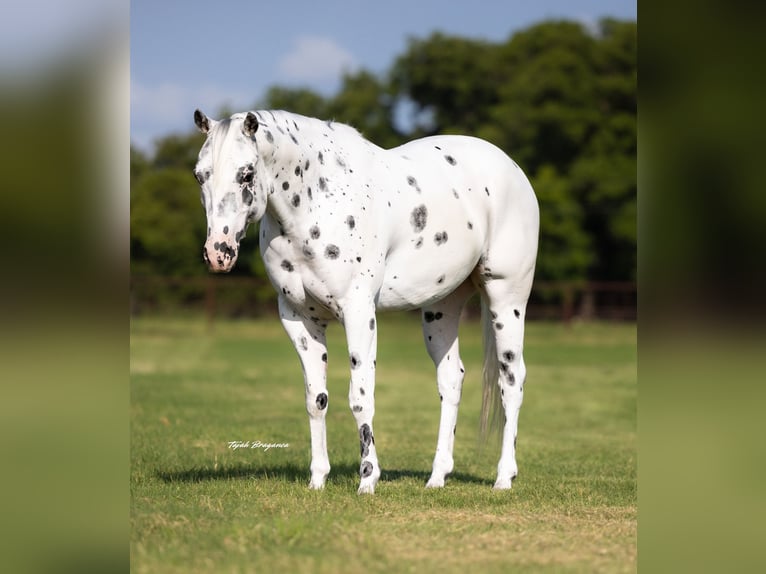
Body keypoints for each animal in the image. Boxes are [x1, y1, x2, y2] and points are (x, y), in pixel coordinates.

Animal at [192, 109, 539, 494]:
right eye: (200, 174)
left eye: (247, 173)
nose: (218, 253)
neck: (317, 201)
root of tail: (511, 167)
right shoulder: (299, 319)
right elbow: (316, 400)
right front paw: (318, 480)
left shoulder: (358, 312)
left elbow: (360, 397)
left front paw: (367, 479)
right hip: (441, 307)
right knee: (451, 380)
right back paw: (437, 477)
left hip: (506, 298)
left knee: (511, 380)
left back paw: (504, 477)